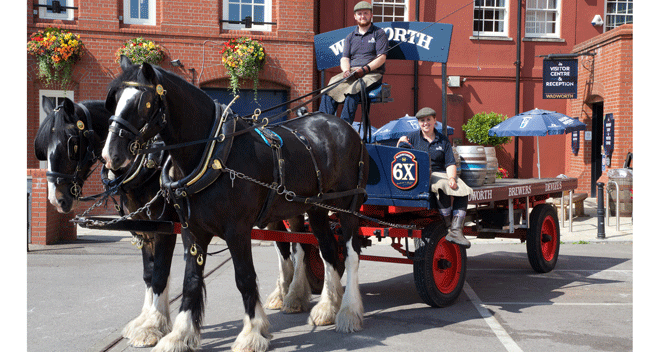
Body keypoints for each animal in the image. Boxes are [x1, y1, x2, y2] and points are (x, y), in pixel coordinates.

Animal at [33, 97, 177, 346]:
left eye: (71, 144)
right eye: (42, 148)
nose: (55, 199)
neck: (148, 164)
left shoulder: (165, 230)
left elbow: (160, 276)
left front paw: (152, 327)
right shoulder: (144, 231)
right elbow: (149, 274)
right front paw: (145, 320)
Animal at [103, 56, 368, 350]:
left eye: (144, 103)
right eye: (114, 101)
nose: (111, 155)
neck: (212, 154)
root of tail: (345, 127)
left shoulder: (235, 230)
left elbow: (244, 278)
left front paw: (252, 332)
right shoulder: (190, 231)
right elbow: (187, 280)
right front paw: (179, 333)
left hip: (347, 206)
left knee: (351, 254)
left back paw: (348, 311)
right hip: (316, 209)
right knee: (328, 251)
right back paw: (326, 308)